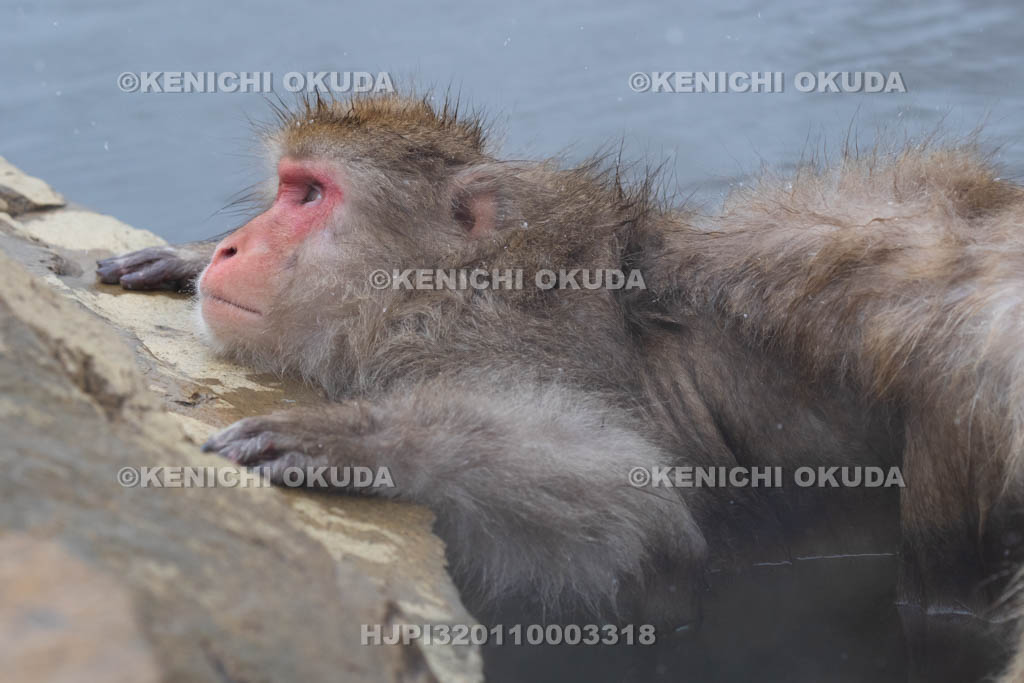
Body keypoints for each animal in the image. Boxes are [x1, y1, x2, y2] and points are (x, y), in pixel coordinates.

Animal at [96, 93, 1024, 679]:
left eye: (310, 196)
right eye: (285, 187)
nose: (230, 248)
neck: (434, 297)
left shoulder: (515, 344)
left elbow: (641, 510)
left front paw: (375, 441)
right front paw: (183, 256)